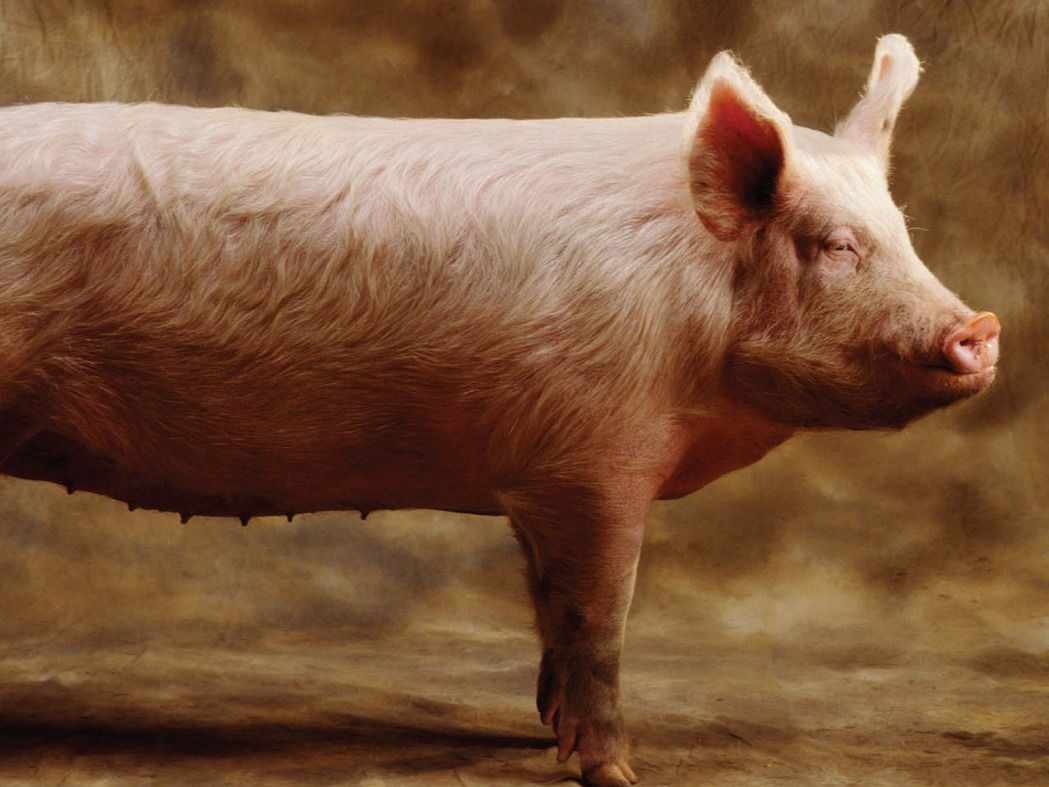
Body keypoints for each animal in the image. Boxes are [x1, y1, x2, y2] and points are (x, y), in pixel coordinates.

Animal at [0, 34, 998, 786]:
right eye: (835, 245)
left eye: (903, 232)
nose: (982, 327)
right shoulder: (593, 458)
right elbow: (600, 620)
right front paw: (614, 774)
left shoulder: (539, 472)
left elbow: (549, 609)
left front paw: (542, 729)